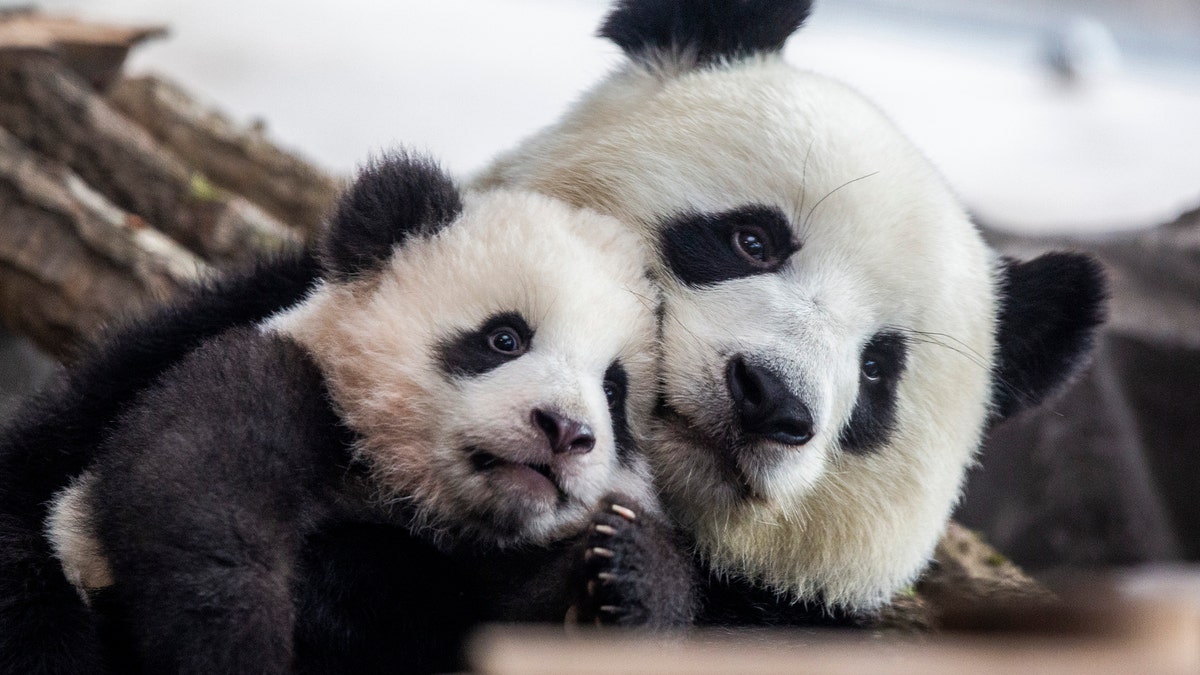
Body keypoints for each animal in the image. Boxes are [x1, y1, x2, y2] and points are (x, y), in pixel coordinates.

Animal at [4, 153, 696, 672]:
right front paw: (238, 648)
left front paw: (623, 575)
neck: (405, 497)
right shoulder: (284, 382)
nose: (565, 431)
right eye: (505, 338)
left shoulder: (474, 578)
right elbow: (196, 493)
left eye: (614, 393)